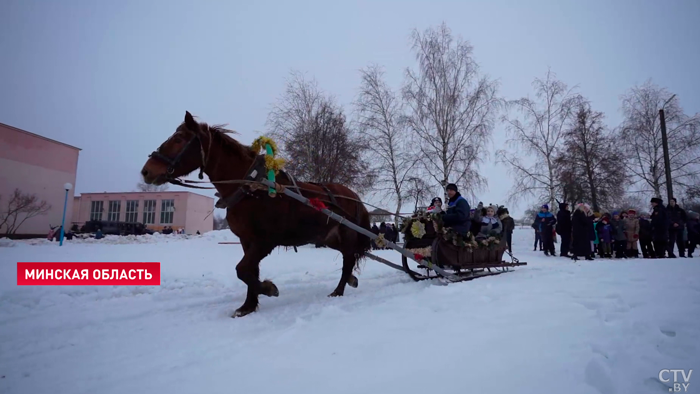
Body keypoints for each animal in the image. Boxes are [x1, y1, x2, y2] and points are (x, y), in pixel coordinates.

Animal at [140, 111, 374, 318]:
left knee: (348, 259)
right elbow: (249, 271)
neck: (251, 188)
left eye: (179, 139)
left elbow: (242, 269)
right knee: (349, 257)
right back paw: (350, 281)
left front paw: (269, 289)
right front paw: (248, 306)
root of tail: (354, 196)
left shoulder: (265, 241)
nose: (147, 171)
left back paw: (338, 290)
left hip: (346, 234)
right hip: (329, 237)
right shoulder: (247, 240)